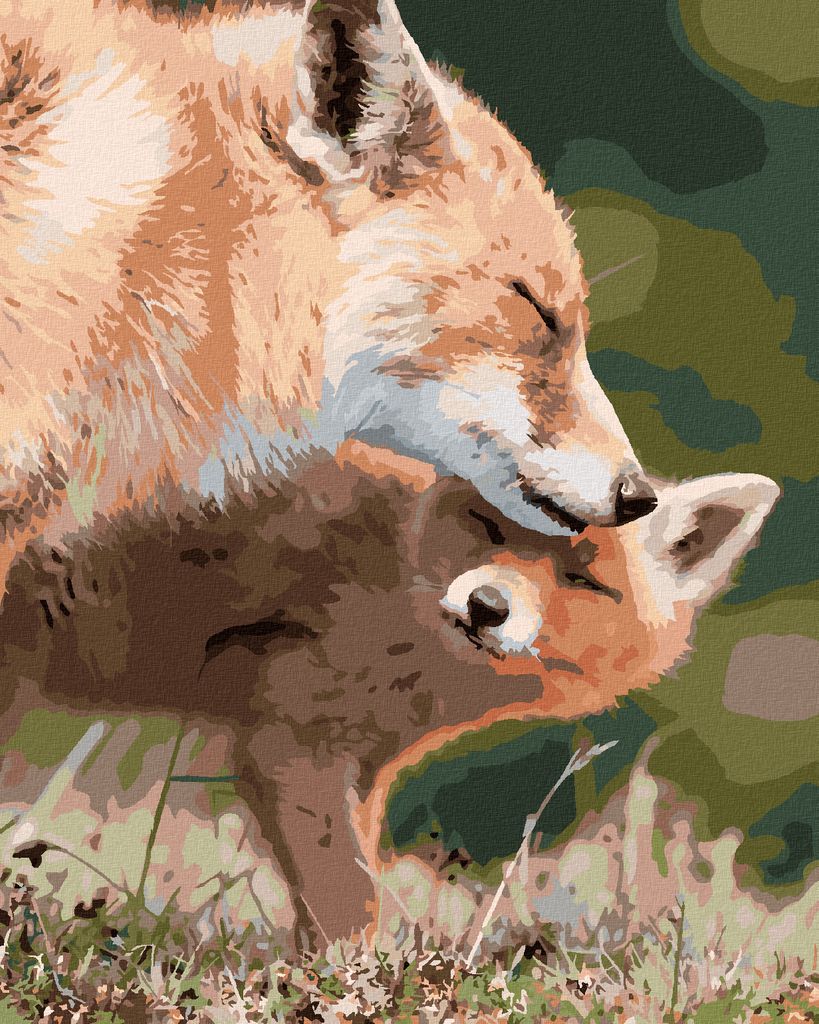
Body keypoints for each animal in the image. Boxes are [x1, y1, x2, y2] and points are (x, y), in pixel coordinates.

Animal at [0, 443, 778, 948]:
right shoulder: (287, 746)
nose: (487, 606)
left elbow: (348, 883)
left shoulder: (366, 766)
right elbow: (350, 902)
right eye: (490, 527)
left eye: (583, 580)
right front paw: (350, 987)